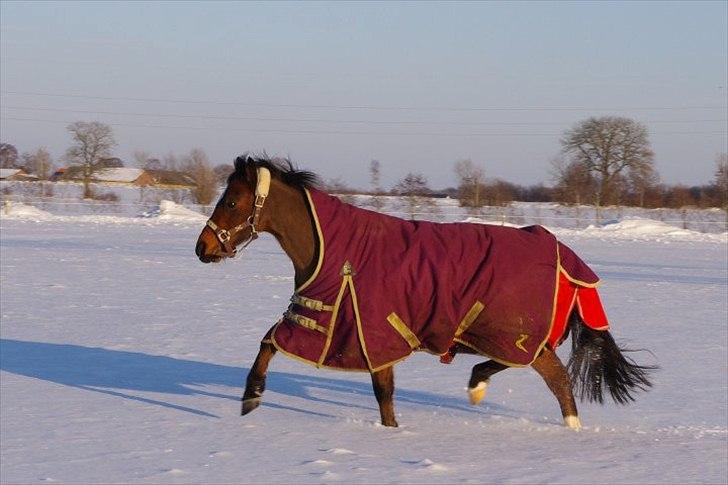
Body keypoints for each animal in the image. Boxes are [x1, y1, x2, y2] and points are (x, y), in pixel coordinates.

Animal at [195, 155, 654, 430]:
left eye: (232, 202)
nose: (203, 247)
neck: (336, 250)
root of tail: (563, 252)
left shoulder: (344, 327)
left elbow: (270, 343)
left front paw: (250, 399)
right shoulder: (366, 336)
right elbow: (383, 396)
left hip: (514, 331)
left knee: (556, 378)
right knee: (523, 367)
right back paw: (477, 386)